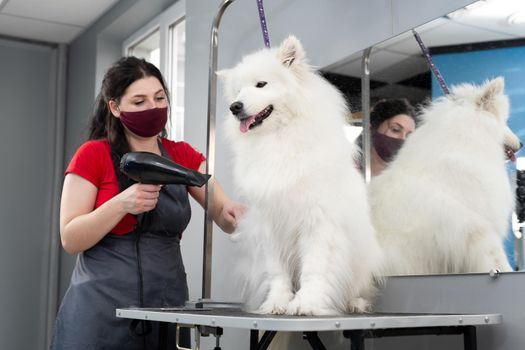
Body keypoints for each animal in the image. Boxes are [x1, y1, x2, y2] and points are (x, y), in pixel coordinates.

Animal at [219, 36, 382, 318]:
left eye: (261, 84)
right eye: (237, 91)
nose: (234, 107)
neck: (277, 140)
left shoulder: (317, 222)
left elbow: (314, 269)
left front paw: (306, 303)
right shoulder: (270, 225)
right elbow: (278, 273)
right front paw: (277, 303)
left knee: (358, 287)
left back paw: (355, 303)